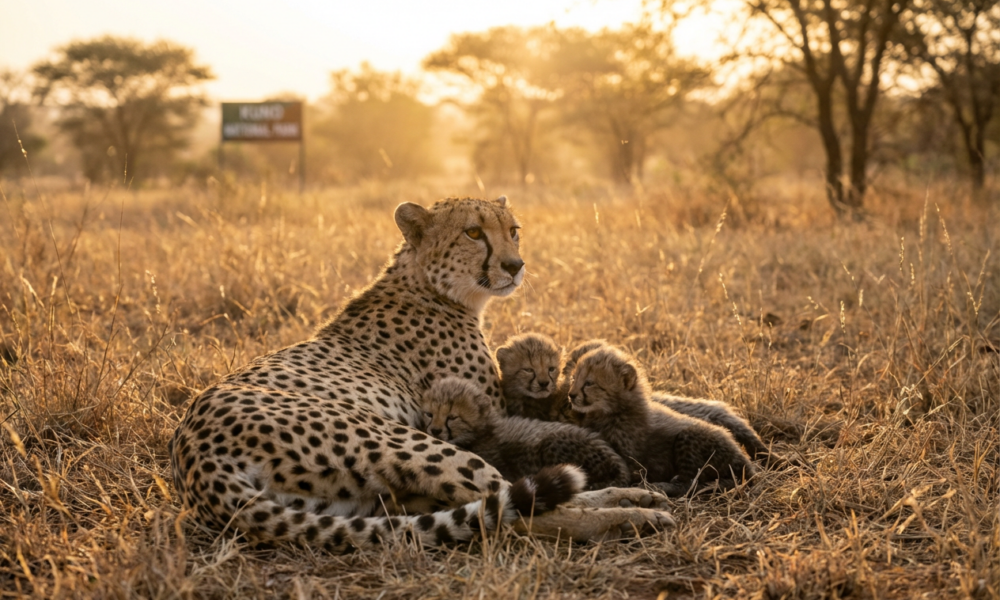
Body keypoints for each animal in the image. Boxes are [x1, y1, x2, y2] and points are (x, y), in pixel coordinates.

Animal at [567, 345, 757, 497]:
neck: (613, 411)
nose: (571, 395)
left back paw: (663, 485)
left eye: (589, 383)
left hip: (690, 437)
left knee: (690, 483)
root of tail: (744, 460)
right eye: (573, 378)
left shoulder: (632, 461)